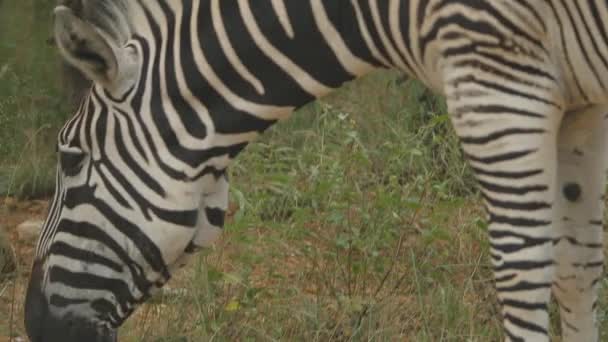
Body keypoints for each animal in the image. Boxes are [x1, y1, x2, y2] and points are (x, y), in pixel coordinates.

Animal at [23, 0, 608, 340]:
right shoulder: (580, 108)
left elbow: (523, 270)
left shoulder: (497, 80)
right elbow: (576, 271)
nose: (33, 324)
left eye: (70, 159)